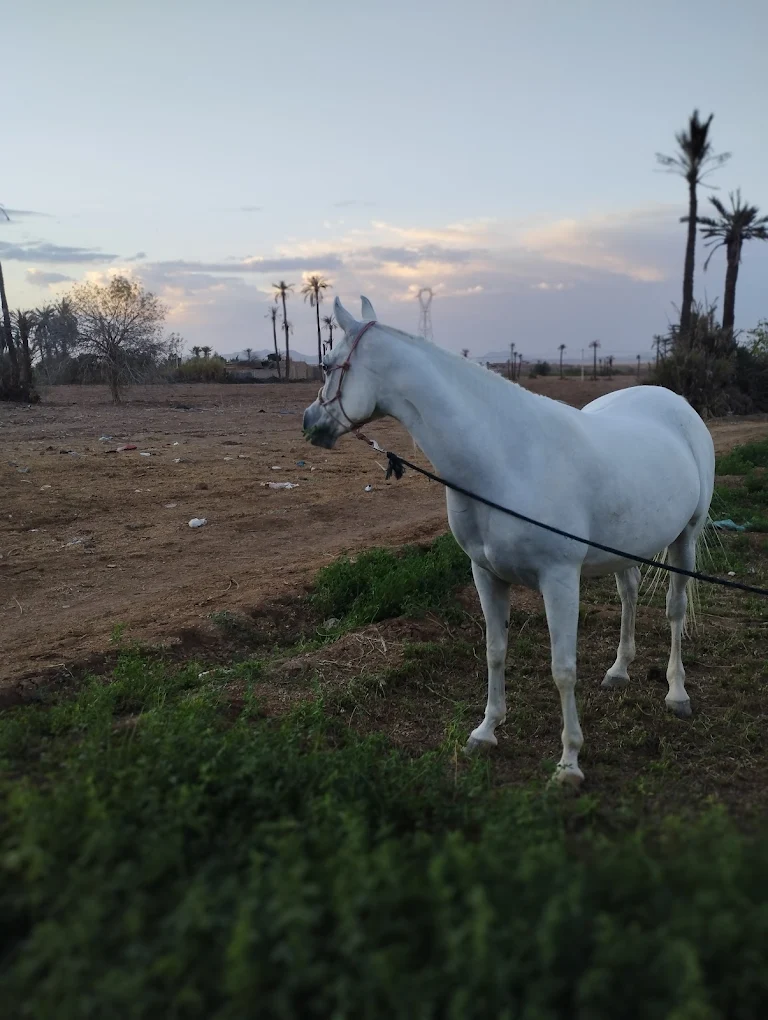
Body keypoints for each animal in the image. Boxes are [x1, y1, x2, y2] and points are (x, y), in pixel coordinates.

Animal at [302, 296, 715, 786]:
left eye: (327, 363)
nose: (310, 423)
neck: (505, 459)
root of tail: (677, 403)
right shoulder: (485, 574)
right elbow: (495, 651)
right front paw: (486, 730)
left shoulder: (559, 580)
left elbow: (563, 669)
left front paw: (569, 762)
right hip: (625, 548)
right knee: (630, 594)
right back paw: (619, 671)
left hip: (685, 538)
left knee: (675, 612)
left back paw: (677, 693)